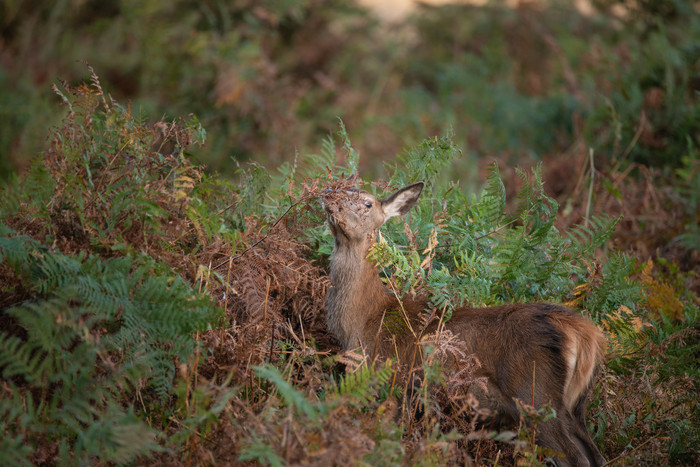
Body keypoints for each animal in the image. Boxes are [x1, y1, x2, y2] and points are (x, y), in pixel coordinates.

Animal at [322, 180, 608, 467]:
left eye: (367, 203)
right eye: (342, 188)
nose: (328, 195)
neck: (363, 320)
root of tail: (585, 333)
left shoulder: (383, 378)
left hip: (535, 394)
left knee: (577, 458)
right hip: (574, 405)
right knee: (595, 454)